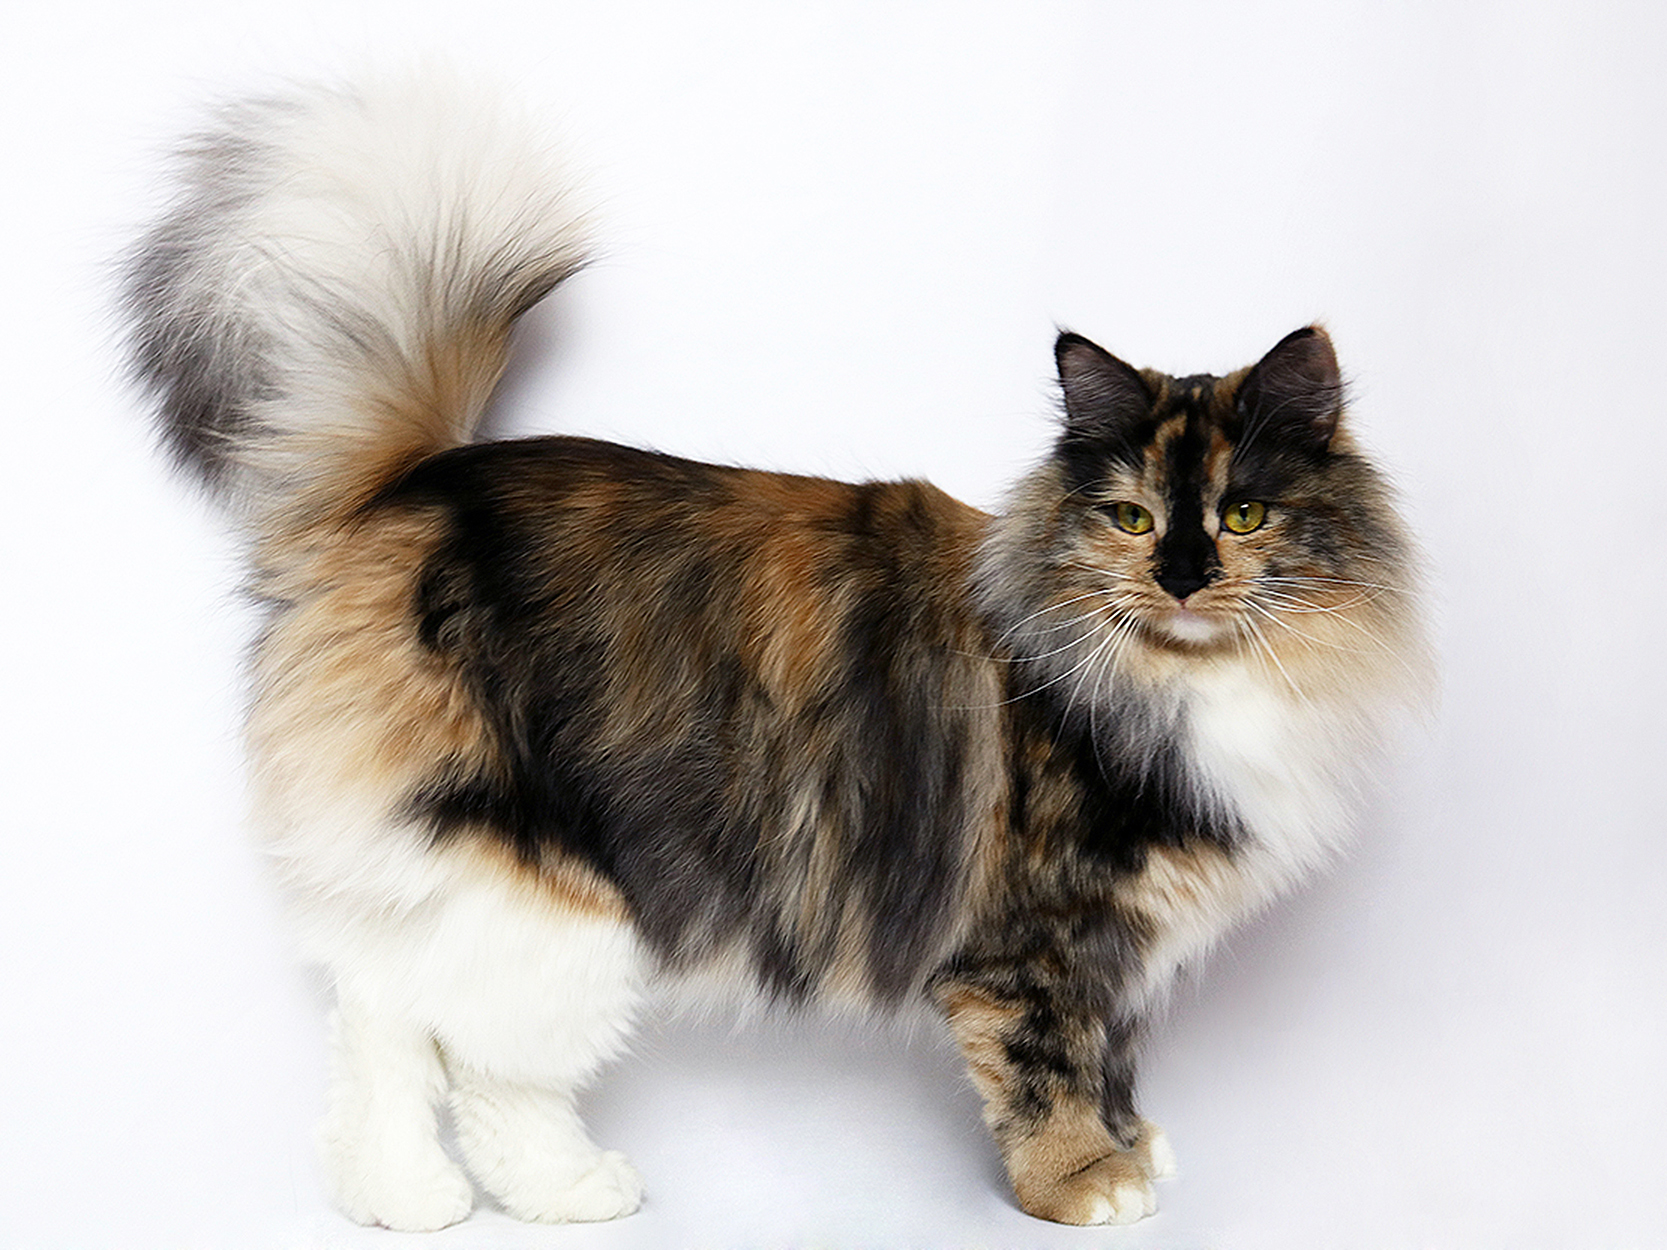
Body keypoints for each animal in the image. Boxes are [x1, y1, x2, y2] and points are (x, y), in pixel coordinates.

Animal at [120, 75, 1420, 1233]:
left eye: (1241, 515)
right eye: (1132, 518)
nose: (1183, 575)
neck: (1184, 677)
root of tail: (414, 484)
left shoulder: (1120, 940)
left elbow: (1112, 1054)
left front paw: (1130, 1142)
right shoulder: (1034, 933)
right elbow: (1048, 1064)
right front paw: (1081, 1183)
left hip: (477, 875)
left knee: (395, 1027)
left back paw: (420, 1197)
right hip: (541, 879)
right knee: (455, 1044)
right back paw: (523, 1191)